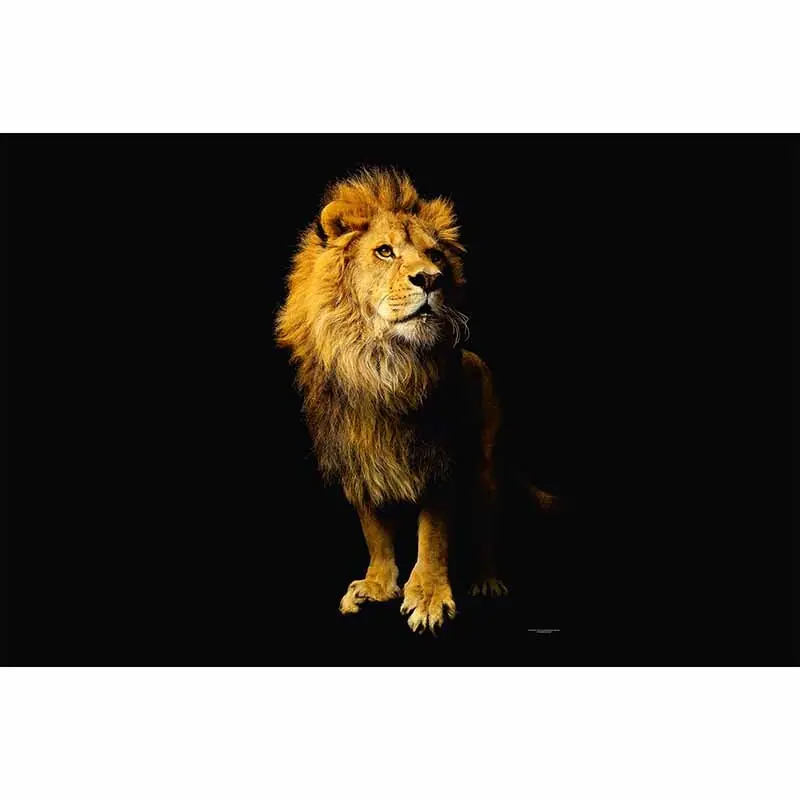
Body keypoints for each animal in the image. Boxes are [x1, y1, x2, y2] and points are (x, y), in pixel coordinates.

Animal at [276, 168, 547, 633]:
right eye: (384, 252)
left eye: (435, 256)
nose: (430, 279)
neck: (381, 365)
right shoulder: (356, 459)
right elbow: (373, 531)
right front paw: (377, 585)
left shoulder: (439, 457)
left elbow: (434, 535)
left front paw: (429, 597)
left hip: (487, 468)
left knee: (485, 530)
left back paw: (487, 580)